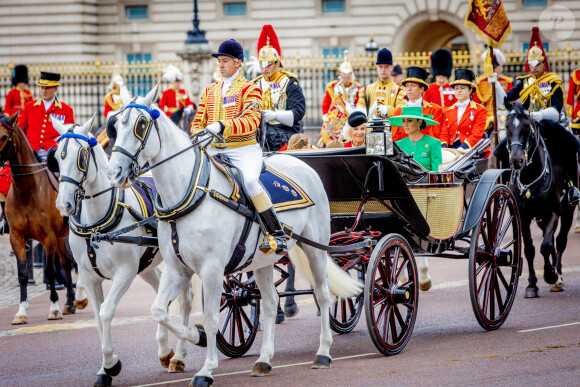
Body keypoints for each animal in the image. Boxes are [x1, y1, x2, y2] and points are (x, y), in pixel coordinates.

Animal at [0, 110, 87, 324]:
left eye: (4, 136)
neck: (27, 190)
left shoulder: (48, 238)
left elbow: (49, 270)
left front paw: (53, 308)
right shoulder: (17, 237)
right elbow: (23, 274)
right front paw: (21, 312)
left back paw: (79, 297)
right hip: (61, 236)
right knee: (66, 263)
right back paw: (70, 302)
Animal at [51, 115, 194, 387]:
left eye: (81, 157)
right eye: (57, 159)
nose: (64, 205)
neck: (97, 223)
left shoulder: (125, 273)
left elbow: (107, 311)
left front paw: (111, 364)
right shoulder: (89, 277)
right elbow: (98, 319)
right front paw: (105, 368)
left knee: (185, 300)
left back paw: (180, 355)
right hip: (149, 266)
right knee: (164, 293)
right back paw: (165, 351)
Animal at [106, 85, 360, 387]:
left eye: (141, 124)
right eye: (115, 126)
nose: (114, 173)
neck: (190, 193)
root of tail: (302, 163)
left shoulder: (212, 269)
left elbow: (212, 319)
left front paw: (206, 369)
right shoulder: (177, 269)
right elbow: (159, 311)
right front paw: (194, 338)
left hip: (315, 249)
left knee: (322, 294)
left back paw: (323, 353)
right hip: (263, 261)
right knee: (270, 302)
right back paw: (264, 360)